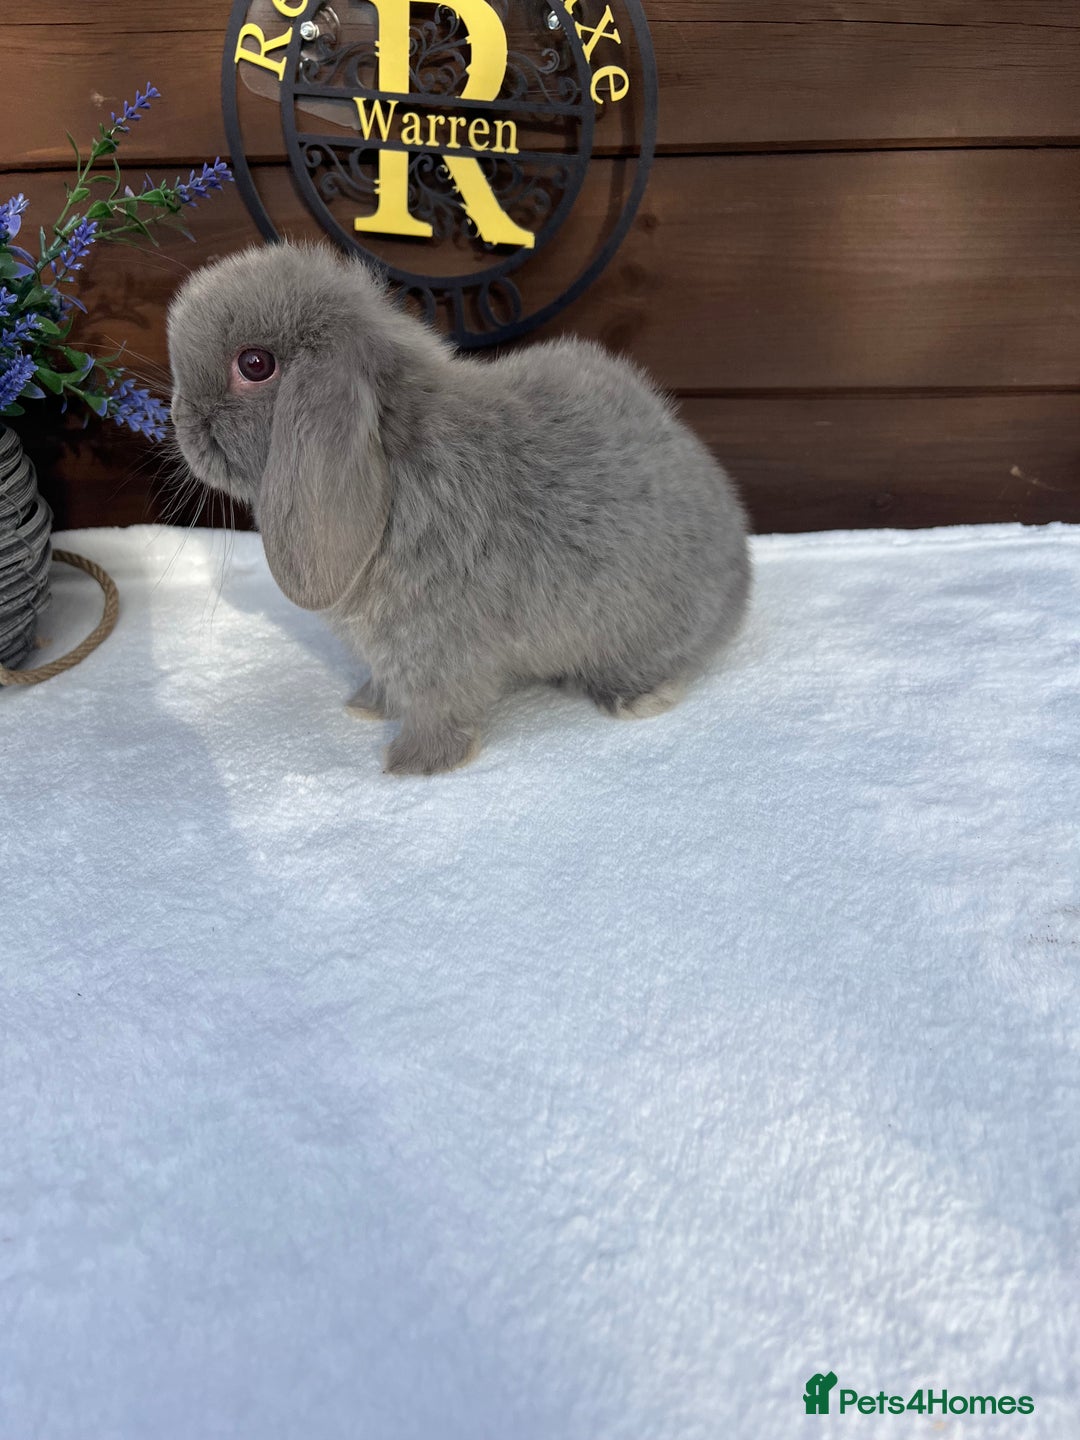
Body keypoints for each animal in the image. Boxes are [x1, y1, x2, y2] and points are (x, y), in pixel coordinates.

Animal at [167, 242, 751, 775]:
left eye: (255, 364)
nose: (182, 423)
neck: (395, 455)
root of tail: (739, 578)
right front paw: (365, 706)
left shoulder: (434, 650)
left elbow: (436, 708)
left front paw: (412, 765)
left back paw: (637, 699)